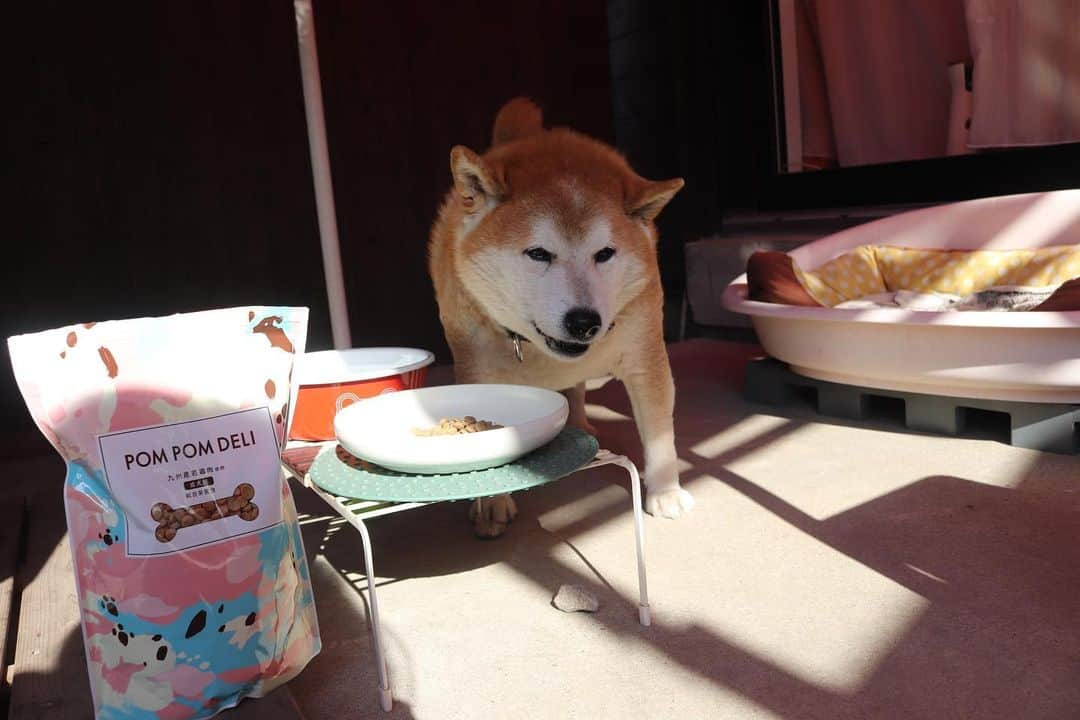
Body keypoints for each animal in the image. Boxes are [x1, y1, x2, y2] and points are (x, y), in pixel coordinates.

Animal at [425, 97, 695, 535]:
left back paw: (582, 422)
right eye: (538, 253)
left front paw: (665, 491)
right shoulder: (477, 370)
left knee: (578, 388)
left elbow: (658, 433)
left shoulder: (645, 357)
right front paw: (492, 500)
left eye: (605, 254)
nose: (584, 323)